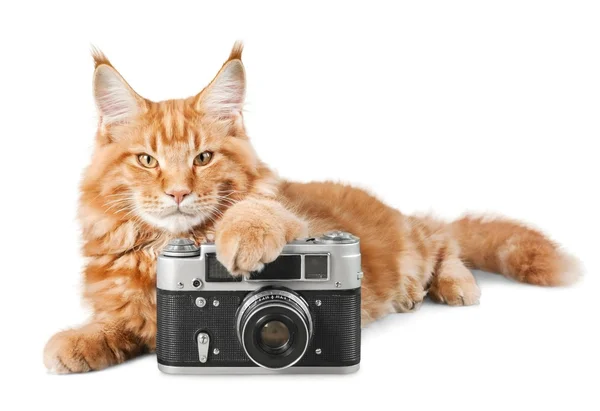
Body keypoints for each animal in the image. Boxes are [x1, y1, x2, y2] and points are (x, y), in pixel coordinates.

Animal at [43, 42, 580, 374]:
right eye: (147, 160)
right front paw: (76, 343)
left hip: (415, 243)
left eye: (203, 158)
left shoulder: (298, 220)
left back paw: (455, 285)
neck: (163, 249)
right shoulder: (135, 310)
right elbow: (115, 324)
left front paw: (241, 238)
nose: (177, 193)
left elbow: (256, 214)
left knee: (442, 237)